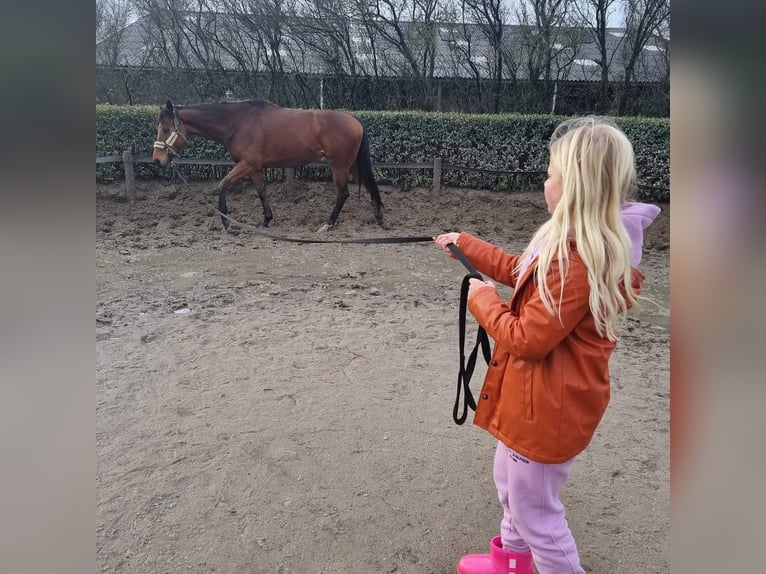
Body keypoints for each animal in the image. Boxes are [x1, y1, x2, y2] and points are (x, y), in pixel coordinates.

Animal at [153, 99, 388, 232]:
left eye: (165, 129)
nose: (157, 160)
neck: (238, 122)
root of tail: (354, 119)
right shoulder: (255, 167)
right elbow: (262, 192)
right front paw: (266, 221)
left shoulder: (247, 164)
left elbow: (222, 185)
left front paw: (228, 223)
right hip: (351, 164)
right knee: (369, 185)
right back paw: (379, 219)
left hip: (339, 165)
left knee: (343, 194)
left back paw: (328, 224)